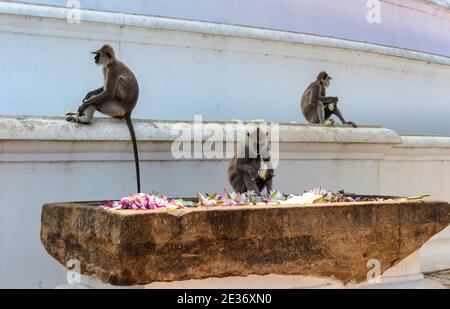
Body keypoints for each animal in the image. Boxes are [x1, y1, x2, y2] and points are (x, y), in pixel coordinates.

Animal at [65, 44, 141, 191]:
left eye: (98, 54)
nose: (95, 58)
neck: (112, 62)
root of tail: (129, 111)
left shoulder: (112, 70)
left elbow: (107, 92)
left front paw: (82, 107)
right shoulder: (105, 68)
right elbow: (102, 90)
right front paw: (88, 94)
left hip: (116, 107)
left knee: (100, 100)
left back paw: (85, 120)